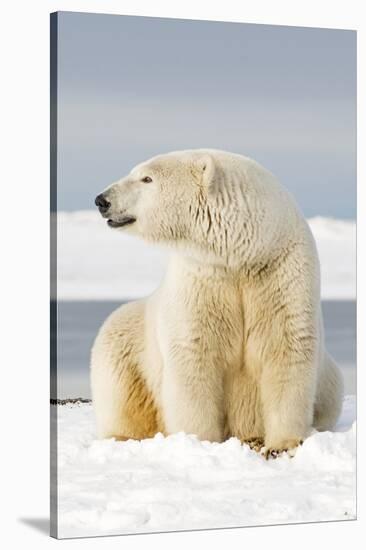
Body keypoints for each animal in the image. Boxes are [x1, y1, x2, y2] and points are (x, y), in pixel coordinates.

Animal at [91, 150, 344, 458]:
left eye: (146, 178)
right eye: (136, 172)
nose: (102, 200)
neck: (244, 255)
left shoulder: (282, 274)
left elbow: (285, 347)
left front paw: (283, 444)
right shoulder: (202, 278)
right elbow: (194, 355)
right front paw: (200, 442)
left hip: (330, 381)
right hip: (126, 339)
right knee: (120, 389)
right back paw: (123, 436)